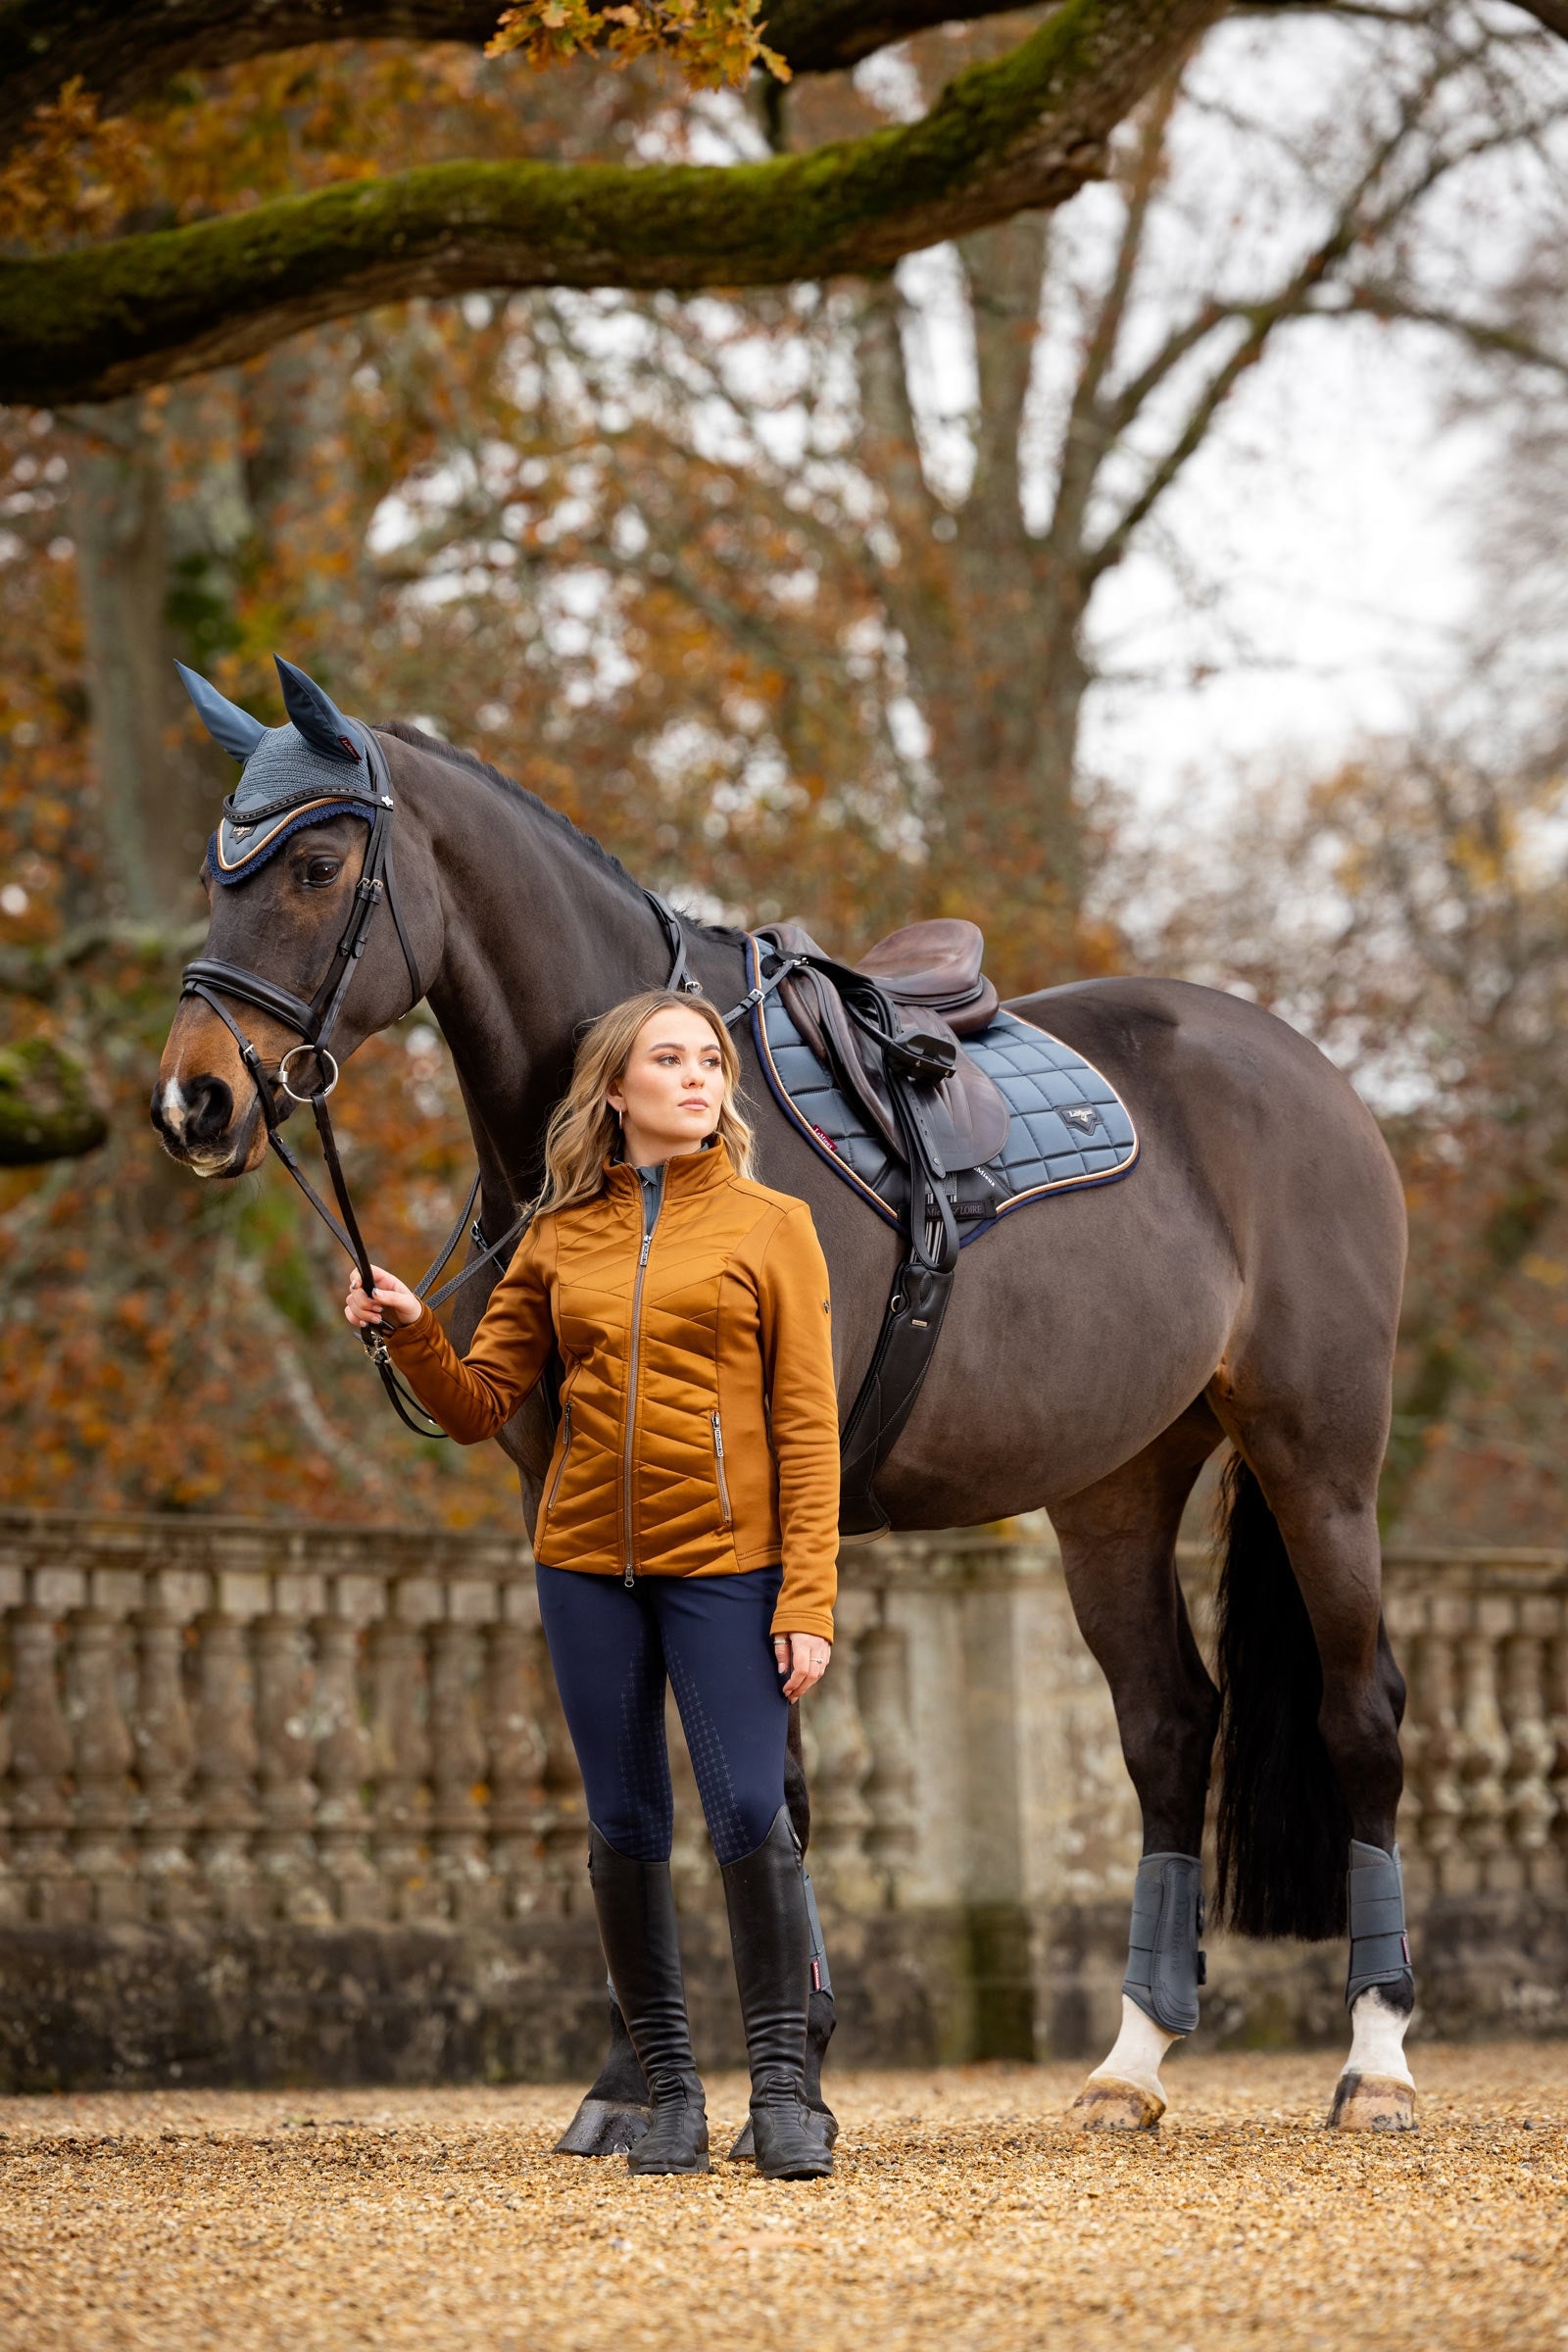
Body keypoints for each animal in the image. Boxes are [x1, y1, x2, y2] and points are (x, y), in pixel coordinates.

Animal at [153, 682, 1416, 2139]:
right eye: (213, 874)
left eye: (314, 866)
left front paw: (787, 2067)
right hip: (1117, 1485)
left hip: (1317, 1458)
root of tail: (1307, 1070)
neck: (631, 1161)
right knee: (1166, 1730)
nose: (193, 1100)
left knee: (1361, 1716)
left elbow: (770, 1785)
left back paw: (1376, 2061)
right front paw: (640, 2083)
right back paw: (1130, 2064)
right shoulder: (569, 1505)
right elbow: (643, 1778)